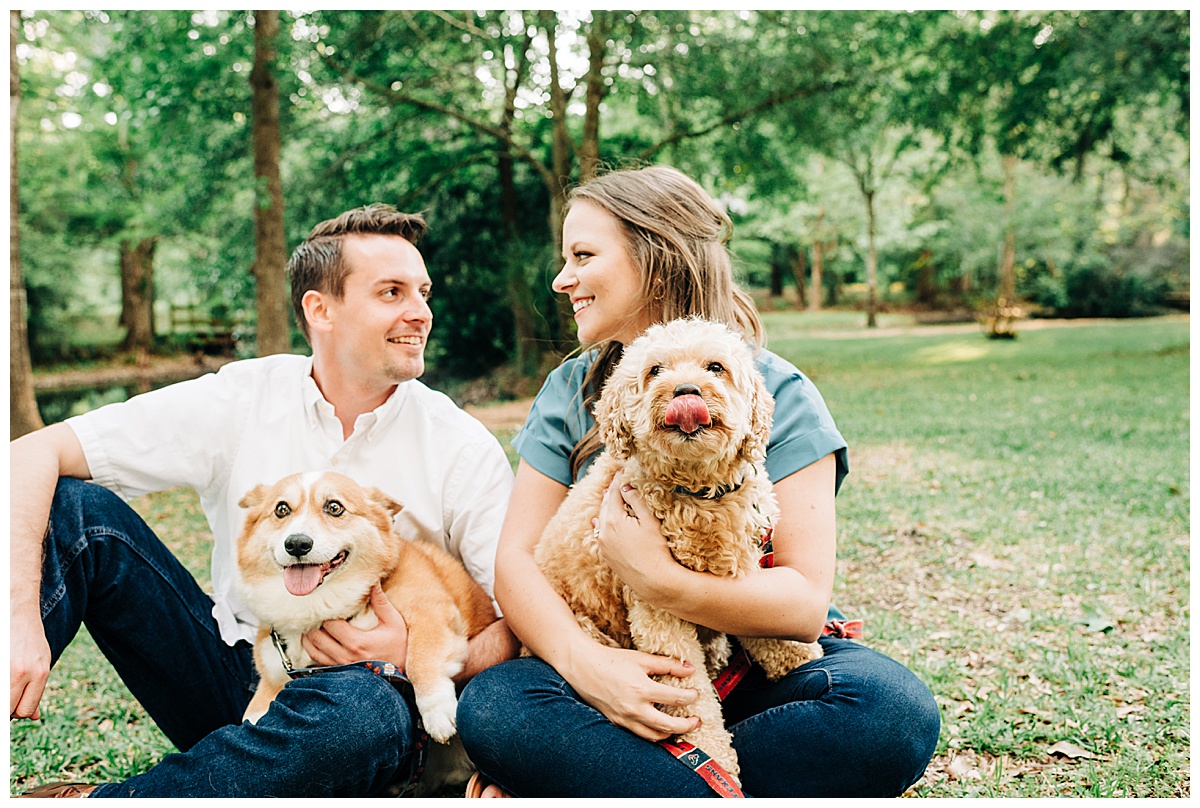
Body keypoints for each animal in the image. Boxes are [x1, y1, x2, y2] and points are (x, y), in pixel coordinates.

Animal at [535, 319, 825, 782]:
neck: (699, 493)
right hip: (590, 632)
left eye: (715, 367)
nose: (685, 389)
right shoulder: (657, 608)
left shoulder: (748, 568)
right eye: (655, 370)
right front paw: (715, 760)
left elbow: (769, 628)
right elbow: (692, 699)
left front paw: (800, 658)